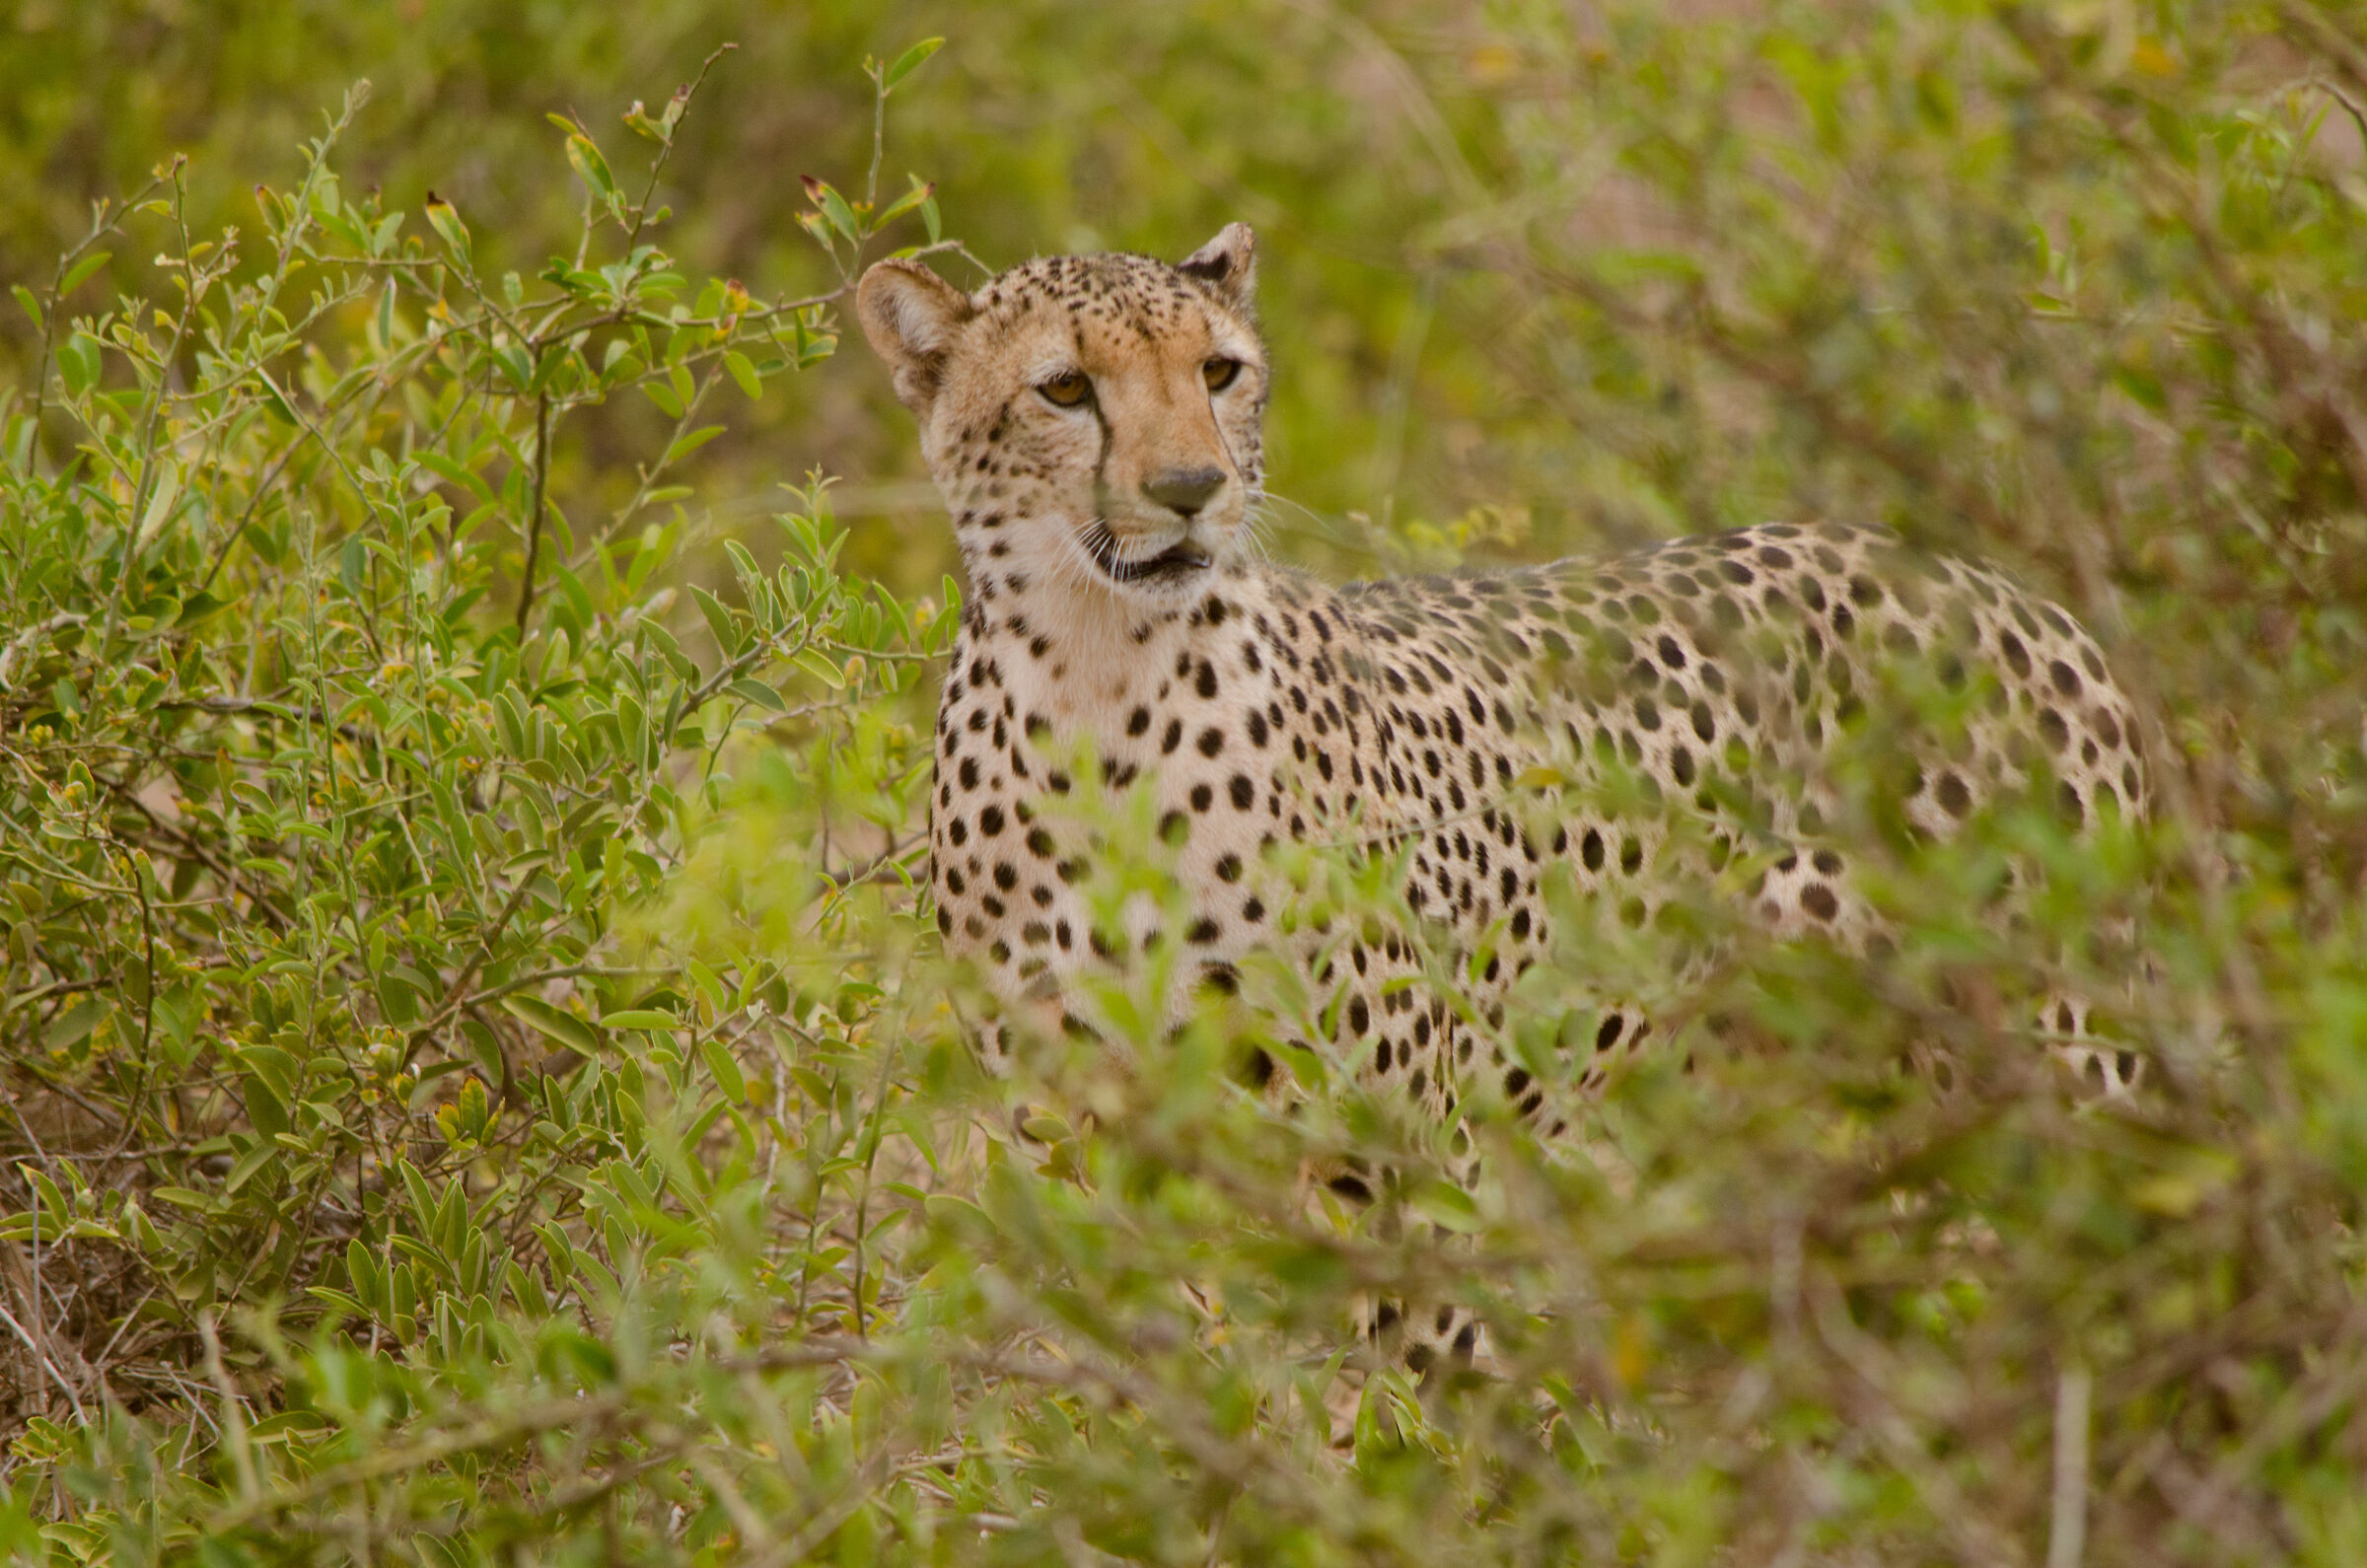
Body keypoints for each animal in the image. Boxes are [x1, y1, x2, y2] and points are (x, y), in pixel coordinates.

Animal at [856, 223, 2150, 1374]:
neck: (1099, 680)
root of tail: (1992, 582)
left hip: (2056, 1073)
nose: (1190, 489)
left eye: (1218, 371)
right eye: (1065, 389)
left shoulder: (1394, 1159)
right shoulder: (1084, 1143)